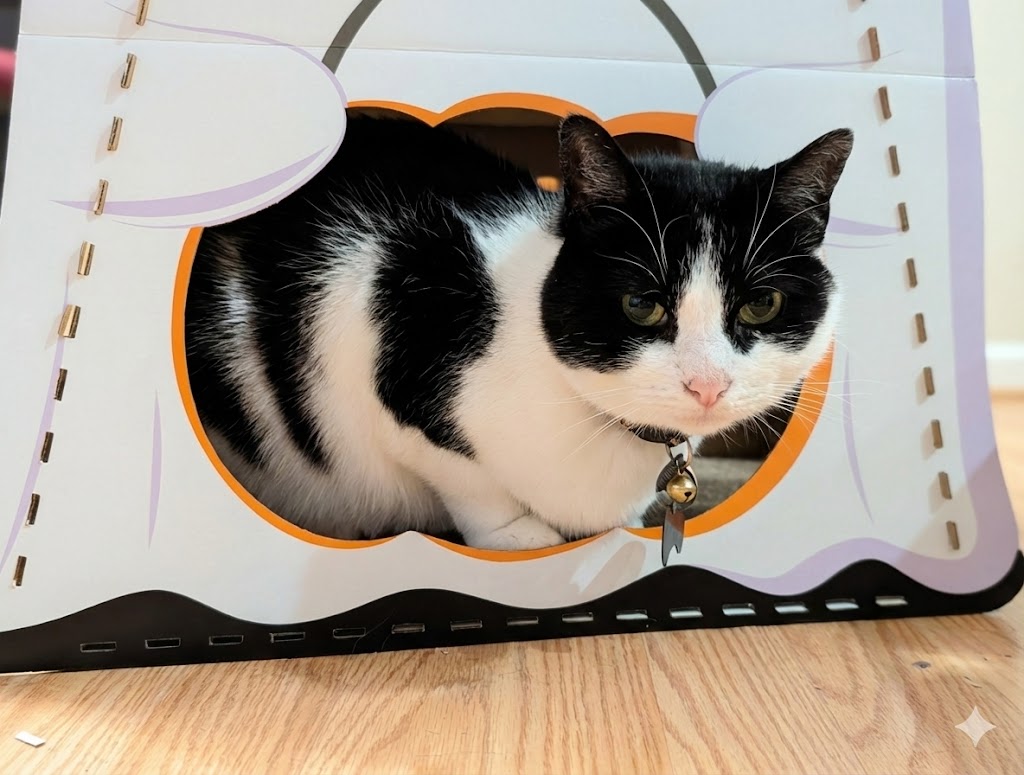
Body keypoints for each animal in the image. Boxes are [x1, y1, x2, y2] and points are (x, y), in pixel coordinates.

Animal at [184, 113, 852, 551]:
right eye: (642, 304)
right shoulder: (375, 316)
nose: (707, 385)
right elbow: (464, 473)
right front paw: (521, 536)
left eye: (762, 304)